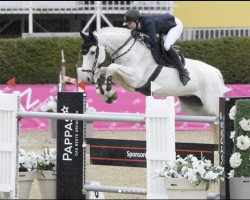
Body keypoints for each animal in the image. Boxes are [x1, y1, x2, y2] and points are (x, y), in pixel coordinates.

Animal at [79, 26, 229, 117]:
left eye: (92, 52)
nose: (86, 78)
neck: (128, 50)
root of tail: (216, 72)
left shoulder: (135, 78)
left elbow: (111, 68)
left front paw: (109, 91)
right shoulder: (123, 76)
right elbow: (102, 71)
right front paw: (106, 94)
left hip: (212, 104)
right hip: (192, 105)